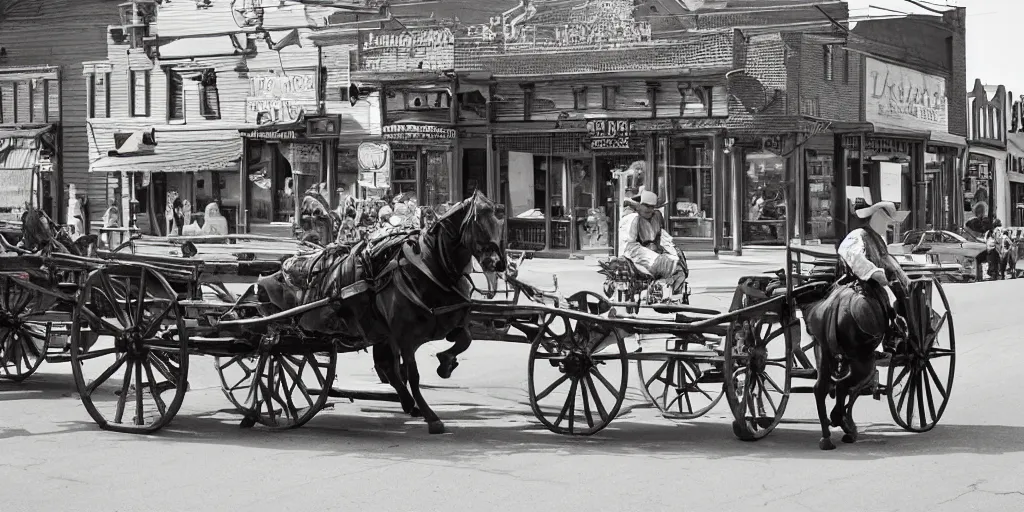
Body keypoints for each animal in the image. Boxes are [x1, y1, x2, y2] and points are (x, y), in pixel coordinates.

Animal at [253, 190, 505, 434]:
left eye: (498, 223)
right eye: (478, 224)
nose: (497, 263)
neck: (428, 269)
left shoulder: (450, 323)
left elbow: (465, 340)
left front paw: (445, 364)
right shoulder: (405, 337)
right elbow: (413, 375)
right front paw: (432, 418)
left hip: (379, 332)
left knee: (387, 367)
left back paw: (408, 403)